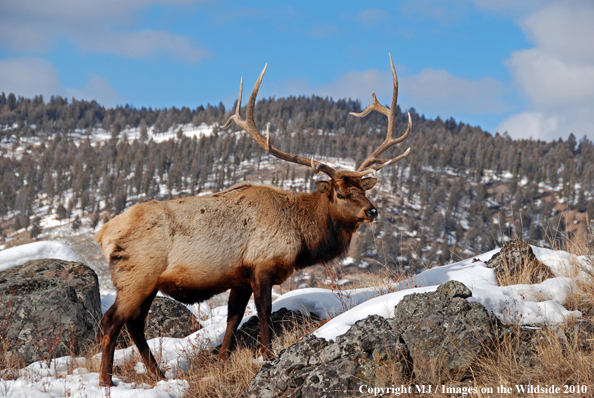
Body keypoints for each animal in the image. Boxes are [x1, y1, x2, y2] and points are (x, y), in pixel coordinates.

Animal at [96, 52, 412, 386]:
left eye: (361, 189)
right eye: (339, 193)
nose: (372, 210)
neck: (302, 237)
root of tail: (103, 234)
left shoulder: (240, 275)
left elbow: (233, 318)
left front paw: (222, 360)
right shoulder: (263, 264)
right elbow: (264, 311)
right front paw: (267, 355)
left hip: (147, 283)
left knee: (135, 324)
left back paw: (157, 373)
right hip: (137, 276)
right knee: (112, 320)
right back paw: (106, 380)